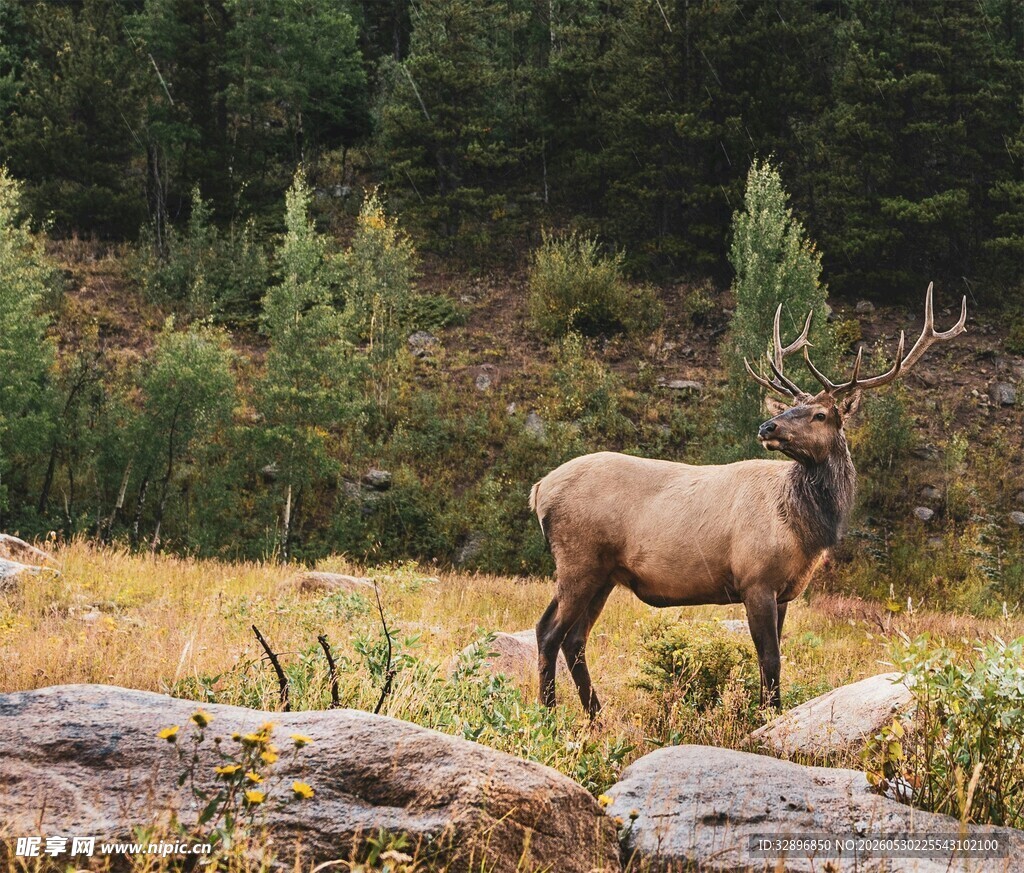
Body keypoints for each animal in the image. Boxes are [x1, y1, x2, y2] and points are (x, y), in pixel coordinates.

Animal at [531, 284, 966, 716]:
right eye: (793, 406)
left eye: (820, 414)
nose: (767, 426)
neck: (804, 529)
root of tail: (539, 490)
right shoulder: (756, 578)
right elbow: (770, 659)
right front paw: (767, 717)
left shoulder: (784, 590)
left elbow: (767, 660)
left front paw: (763, 712)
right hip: (579, 559)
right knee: (548, 631)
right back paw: (549, 714)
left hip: (604, 573)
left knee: (575, 639)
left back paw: (596, 717)